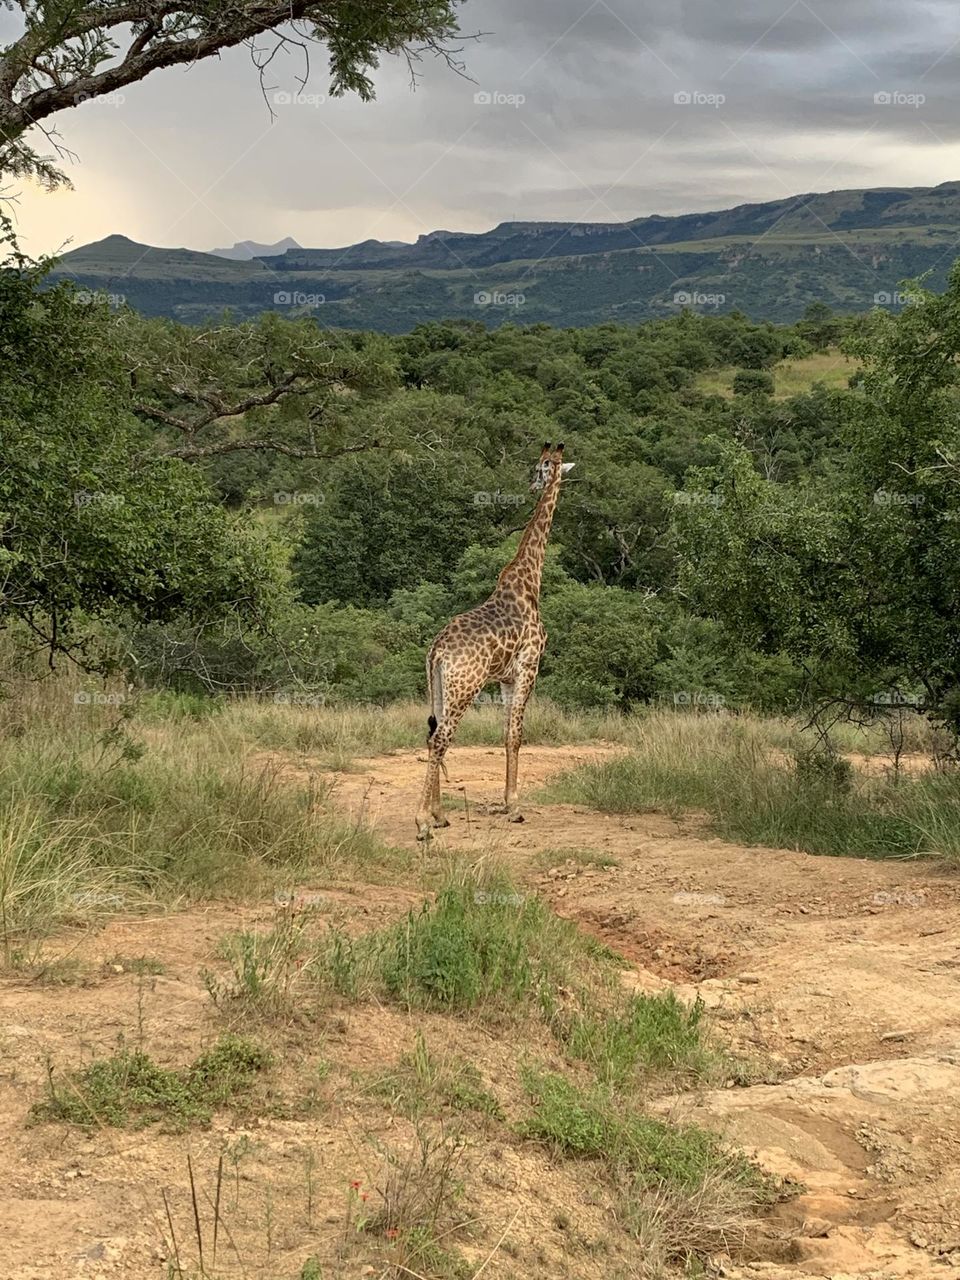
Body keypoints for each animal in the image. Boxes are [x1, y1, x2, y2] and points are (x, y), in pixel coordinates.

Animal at [414, 445, 578, 844]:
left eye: (541, 467)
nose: (535, 483)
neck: (530, 581)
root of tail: (436, 650)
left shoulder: (504, 678)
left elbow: (507, 734)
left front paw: (507, 803)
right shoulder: (529, 667)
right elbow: (516, 734)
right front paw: (515, 807)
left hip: (440, 687)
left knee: (431, 736)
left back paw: (439, 816)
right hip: (465, 687)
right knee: (440, 740)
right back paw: (423, 823)